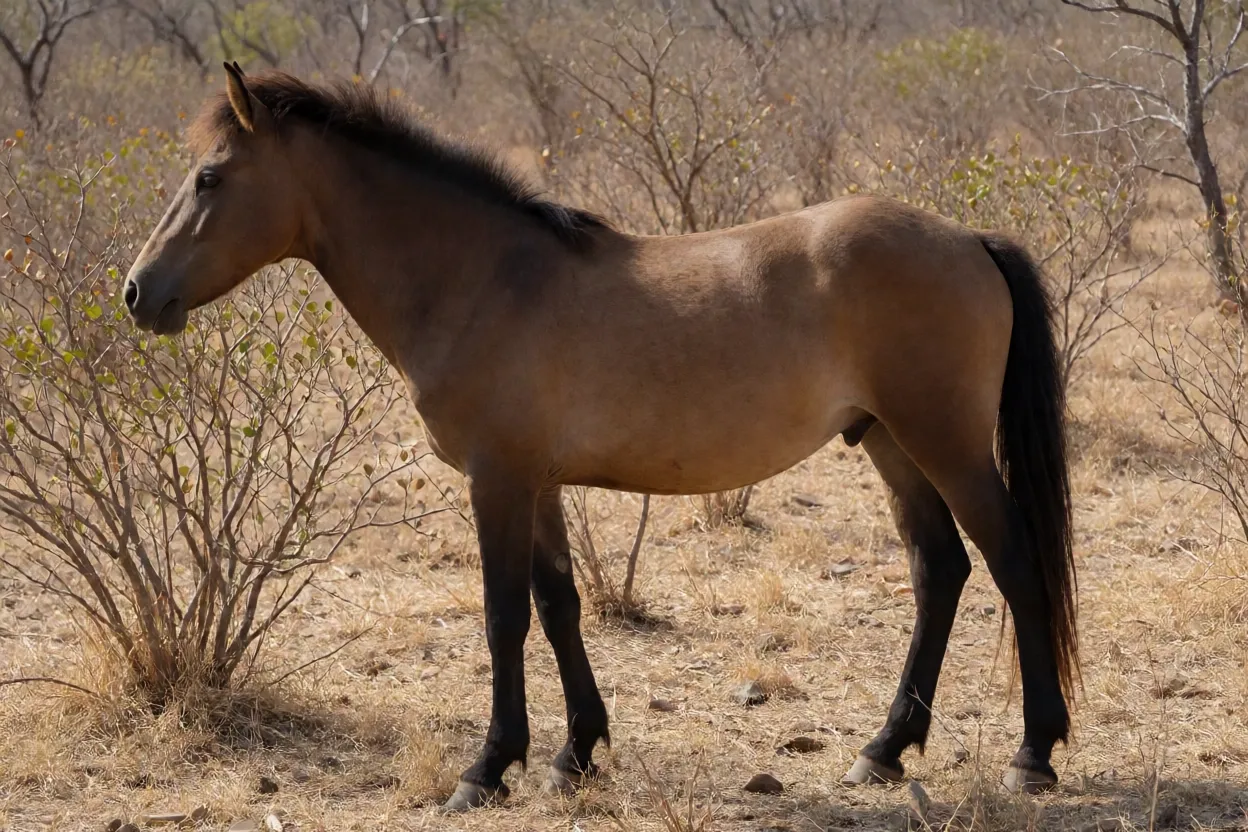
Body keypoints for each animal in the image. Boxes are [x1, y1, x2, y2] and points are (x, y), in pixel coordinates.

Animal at [124, 63, 1078, 812]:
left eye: (208, 179)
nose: (136, 292)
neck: (483, 278)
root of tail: (969, 239)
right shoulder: (537, 482)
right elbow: (558, 606)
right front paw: (573, 754)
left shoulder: (497, 479)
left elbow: (503, 614)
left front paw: (487, 768)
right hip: (887, 443)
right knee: (939, 570)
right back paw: (882, 752)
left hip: (944, 444)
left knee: (1011, 560)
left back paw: (1034, 755)